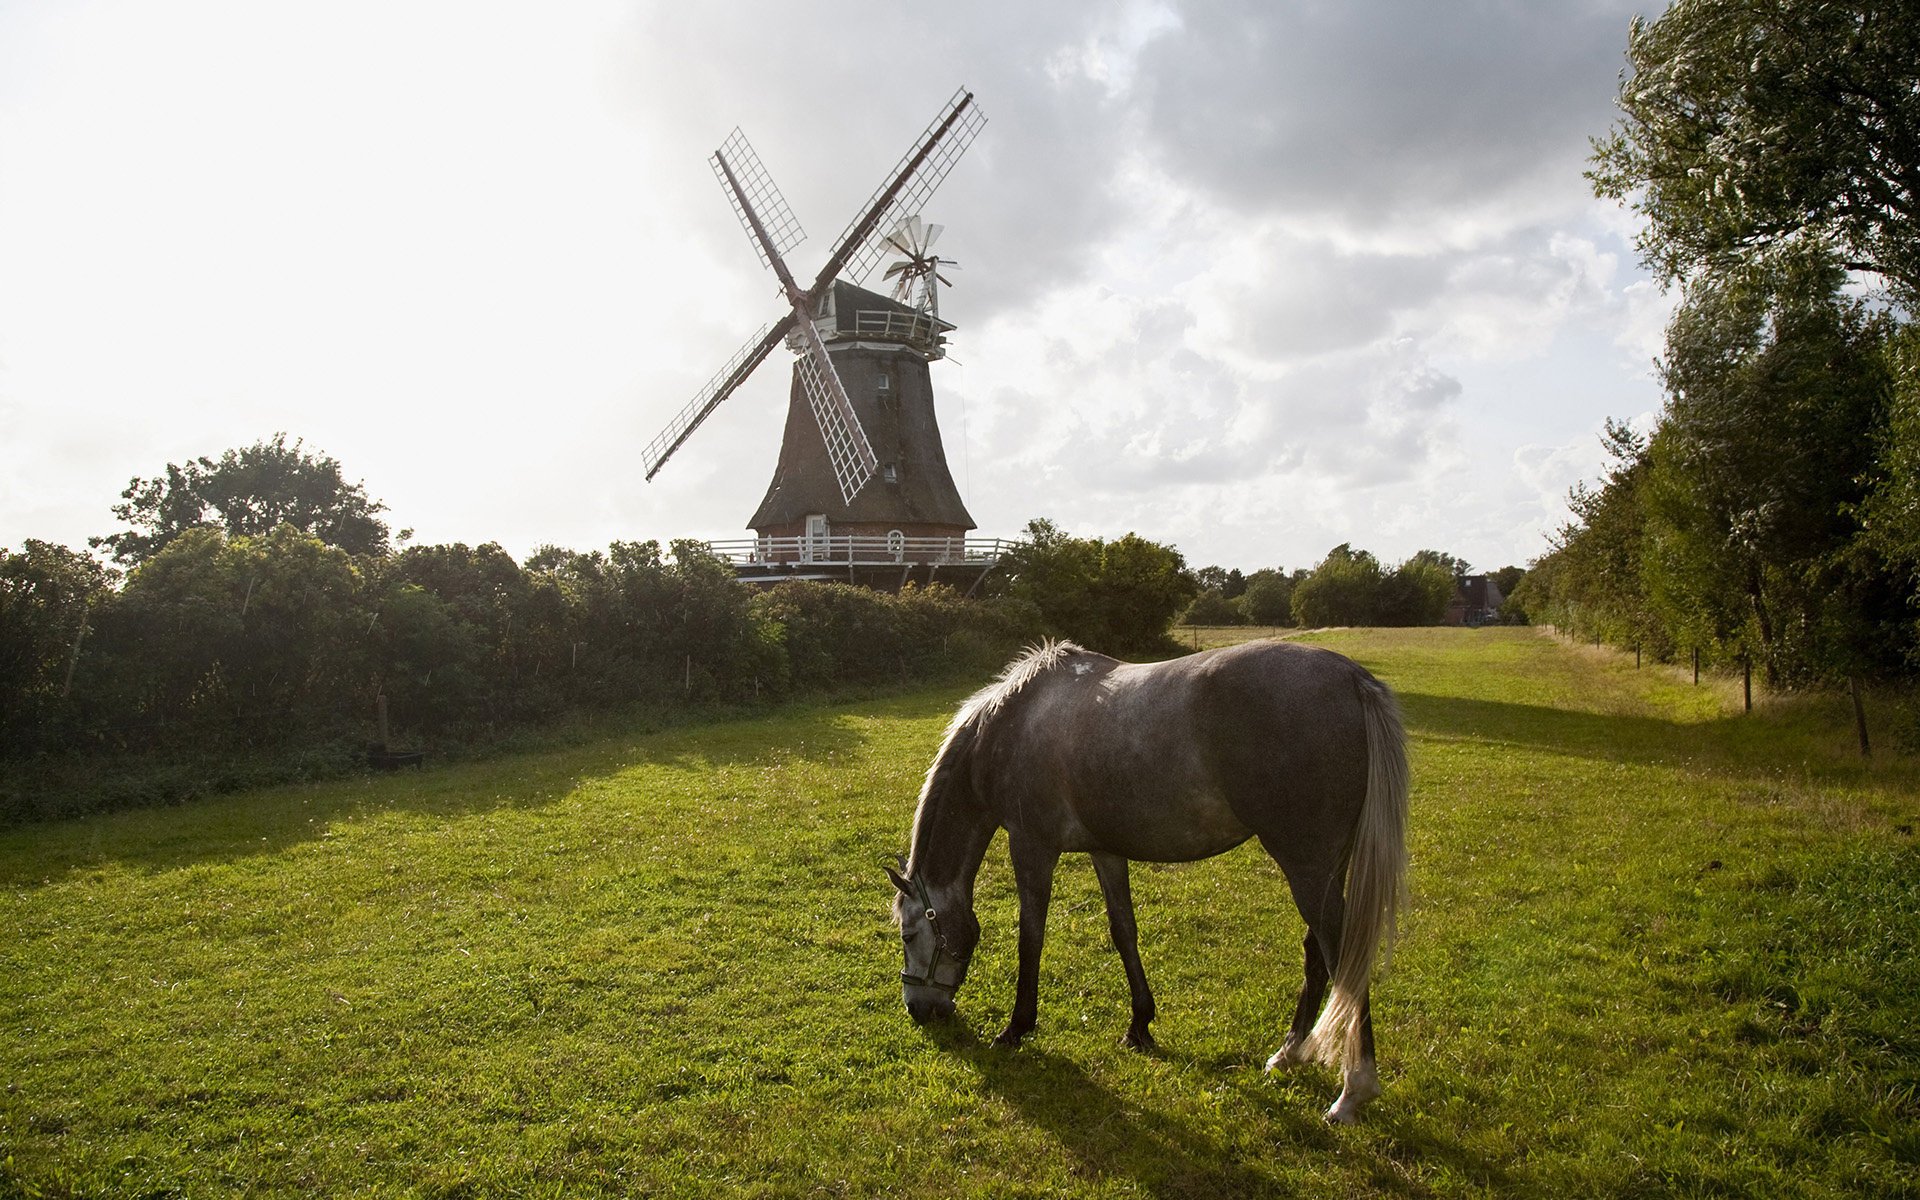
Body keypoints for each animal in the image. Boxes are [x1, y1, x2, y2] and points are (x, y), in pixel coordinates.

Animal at [885, 638, 1410, 1123]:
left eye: (909, 934)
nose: (918, 1009)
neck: (1011, 726)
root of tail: (1351, 679)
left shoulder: (1032, 848)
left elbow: (1030, 938)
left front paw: (1017, 1027)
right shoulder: (1106, 852)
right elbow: (1124, 932)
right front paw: (1140, 1024)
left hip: (1306, 867)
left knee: (1342, 956)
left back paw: (1352, 1091)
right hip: (1324, 868)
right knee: (1317, 953)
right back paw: (1289, 1054)